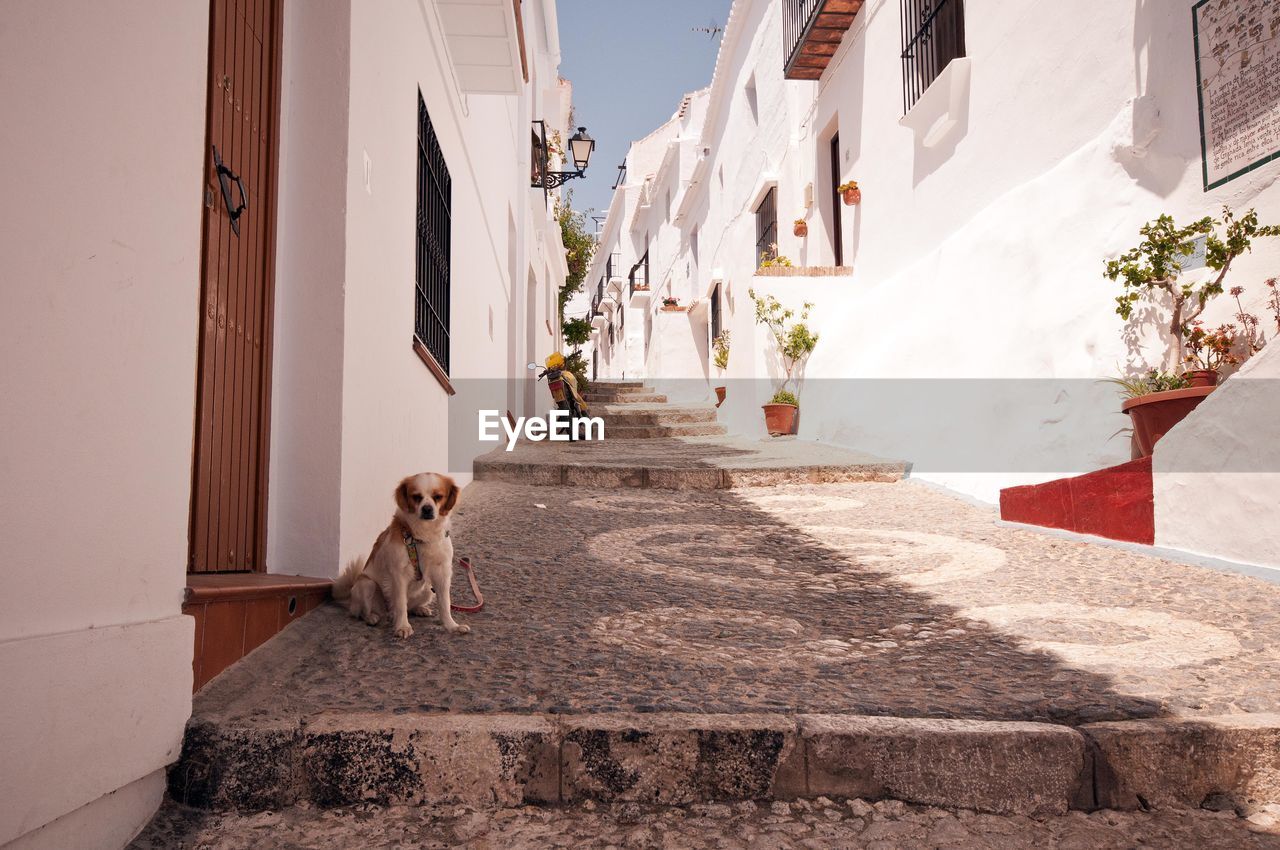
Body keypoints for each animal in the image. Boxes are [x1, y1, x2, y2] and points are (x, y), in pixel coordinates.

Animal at [330, 471, 471, 637]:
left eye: (438, 496)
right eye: (416, 497)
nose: (427, 509)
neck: (422, 536)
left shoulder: (442, 573)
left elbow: (445, 604)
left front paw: (452, 626)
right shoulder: (399, 575)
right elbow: (401, 604)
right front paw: (403, 627)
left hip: (428, 590)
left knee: (410, 607)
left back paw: (420, 609)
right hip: (367, 584)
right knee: (363, 612)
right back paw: (372, 617)